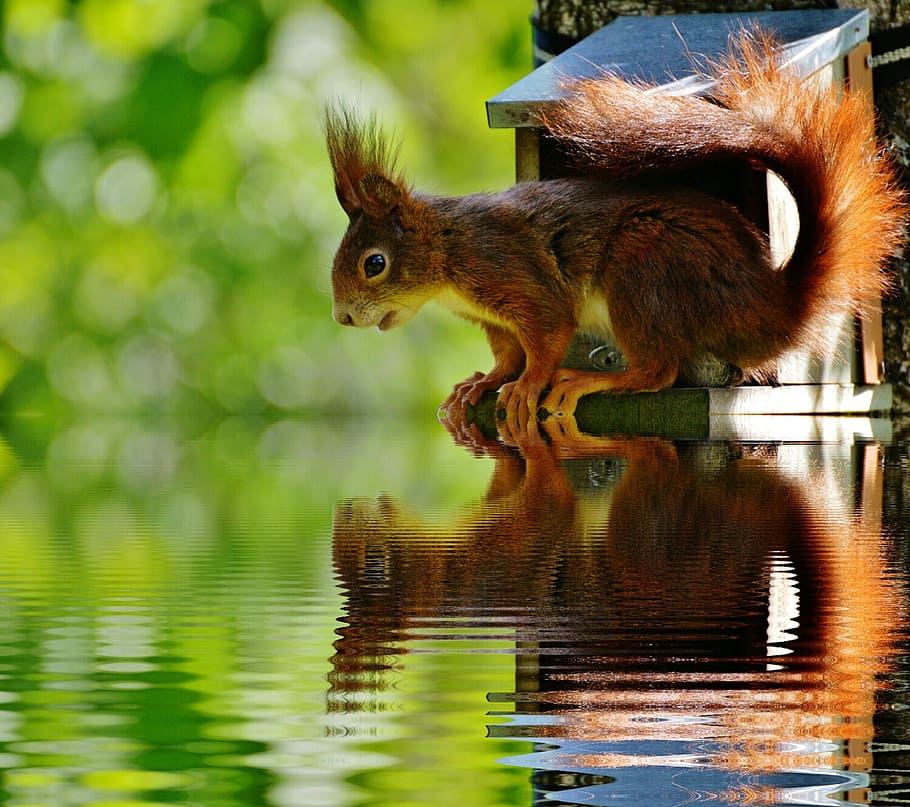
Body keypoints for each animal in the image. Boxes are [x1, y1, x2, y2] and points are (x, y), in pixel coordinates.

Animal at [326, 30, 906, 431]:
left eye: (374, 263)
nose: (344, 318)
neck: (447, 252)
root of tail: (771, 306)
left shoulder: (508, 272)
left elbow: (548, 335)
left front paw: (527, 386)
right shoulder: (491, 318)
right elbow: (507, 354)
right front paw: (483, 383)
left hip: (642, 268)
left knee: (657, 371)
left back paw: (590, 380)